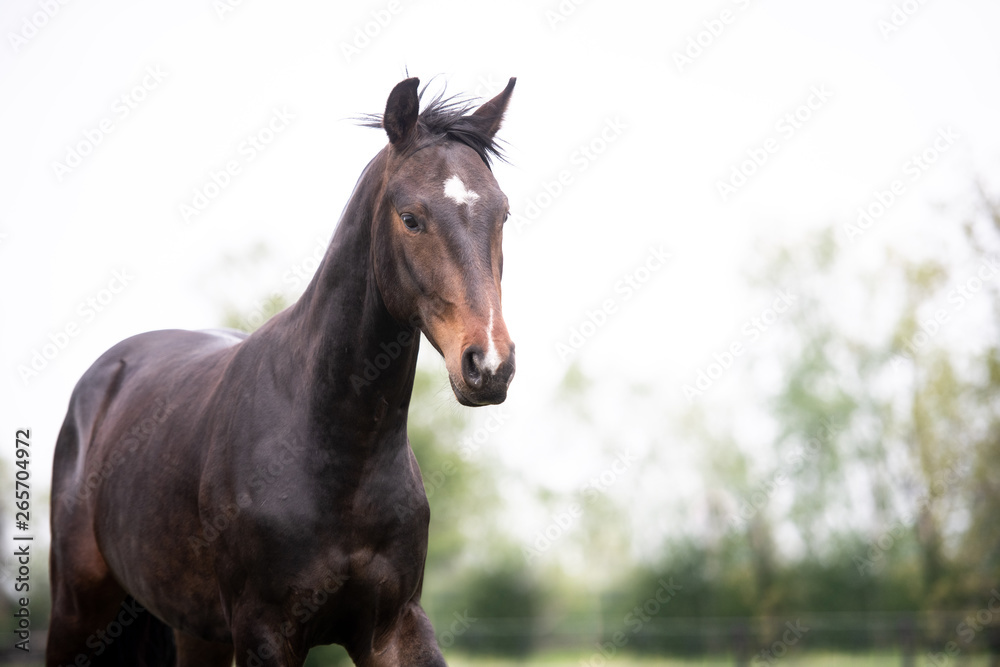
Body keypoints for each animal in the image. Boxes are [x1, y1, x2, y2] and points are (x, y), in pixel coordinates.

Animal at [47, 76, 517, 667]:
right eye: (411, 218)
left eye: (502, 214)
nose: (490, 364)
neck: (336, 450)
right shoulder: (265, 632)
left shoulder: (395, 626)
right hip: (78, 613)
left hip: (195, 629)